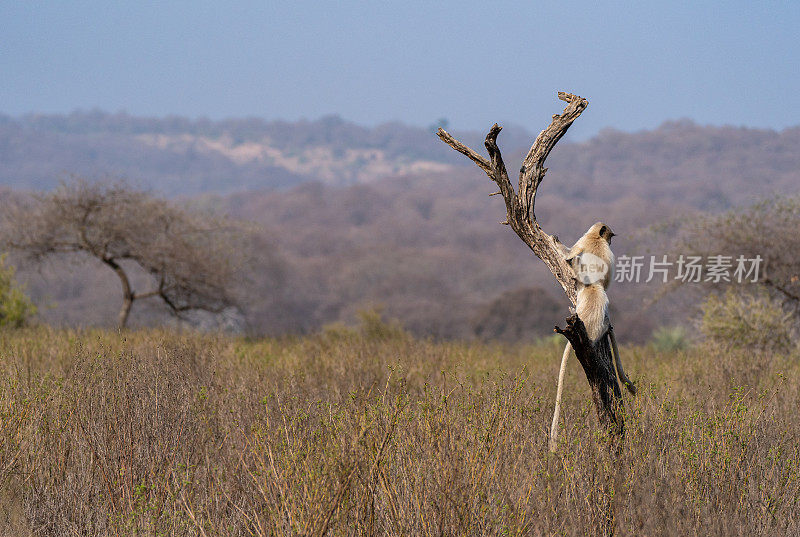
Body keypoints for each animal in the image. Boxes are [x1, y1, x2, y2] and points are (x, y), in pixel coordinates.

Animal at [548, 220, 636, 450]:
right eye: (610, 237)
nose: (612, 240)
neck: (596, 238)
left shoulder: (584, 240)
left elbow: (570, 254)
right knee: (601, 290)